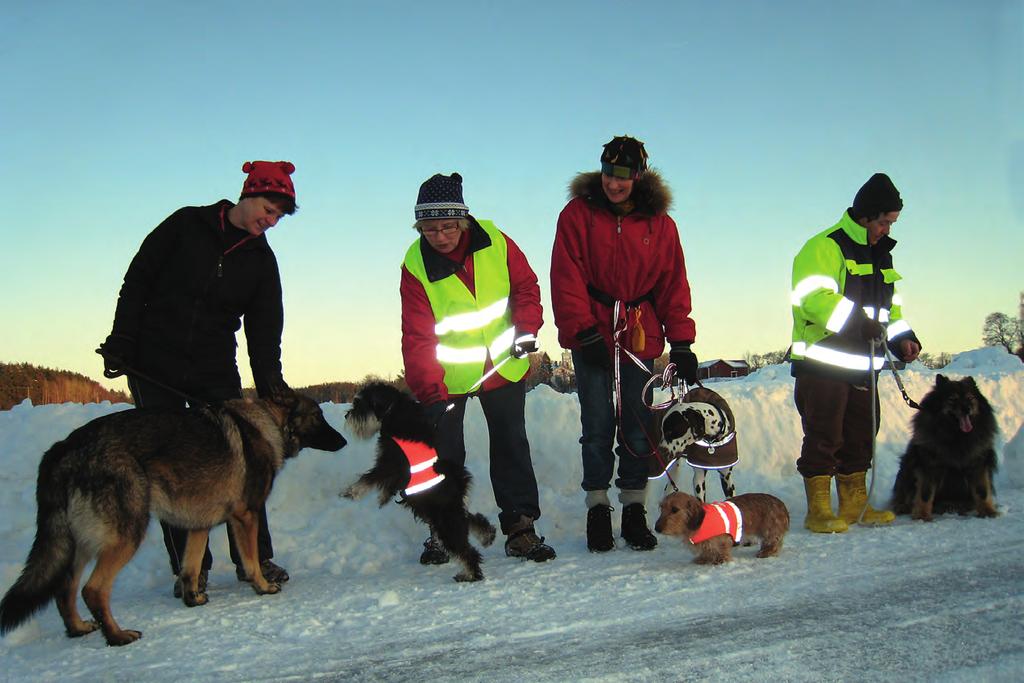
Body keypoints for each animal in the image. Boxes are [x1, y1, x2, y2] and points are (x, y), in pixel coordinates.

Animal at [0, 389, 346, 647]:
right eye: (317, 416)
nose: (343, 441)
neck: (269, 424)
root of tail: (63, 448)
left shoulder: (198, 526)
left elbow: (190, 566)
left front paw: (193, 598)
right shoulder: (246, 516)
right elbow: (249, 560)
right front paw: (262, 586)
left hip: (82, 541)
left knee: (65, 587)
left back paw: (78, 629)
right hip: (126, 534)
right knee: (93, 589)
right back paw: (117, 636)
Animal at [342, 382, 497, 585]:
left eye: (360, 404)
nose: (347, 415)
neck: (395, 412)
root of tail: (460, 486)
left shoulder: (389, 464)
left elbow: (369, 478)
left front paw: (351, 492)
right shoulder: (392, 469)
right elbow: (383, 485)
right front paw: (382, 498)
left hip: (445, 522)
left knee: (466, 551)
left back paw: (470, 575)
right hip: (447, 516)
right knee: (473, 520)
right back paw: (487, 535)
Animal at [888, 376, 999, 520]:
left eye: (970, 398)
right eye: (953, 399)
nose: (967, 408)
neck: (956, 436)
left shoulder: (978, 464)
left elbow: (982, 491)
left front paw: (988, 512)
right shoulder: (928, 466)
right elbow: (925, 494)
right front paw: (922, 516)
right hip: (907, 465)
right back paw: (902, 506)